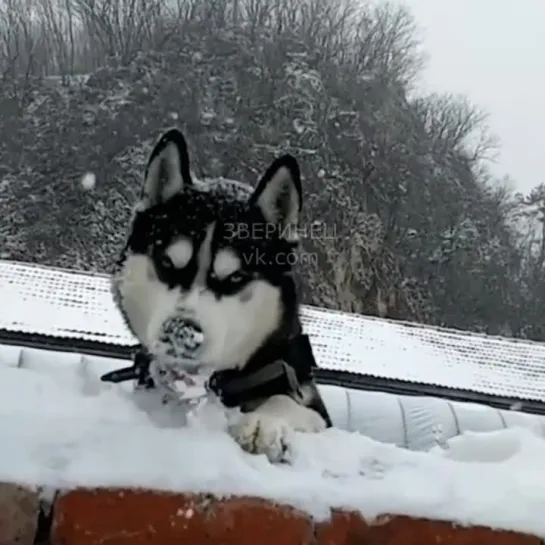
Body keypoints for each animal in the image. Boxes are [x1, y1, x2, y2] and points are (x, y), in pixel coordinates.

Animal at [112, 129, 330, 464]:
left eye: (235, 278)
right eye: (166, 264)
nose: (181, 332)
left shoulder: (307, 398)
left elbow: (284, 402)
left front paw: (262, 424)